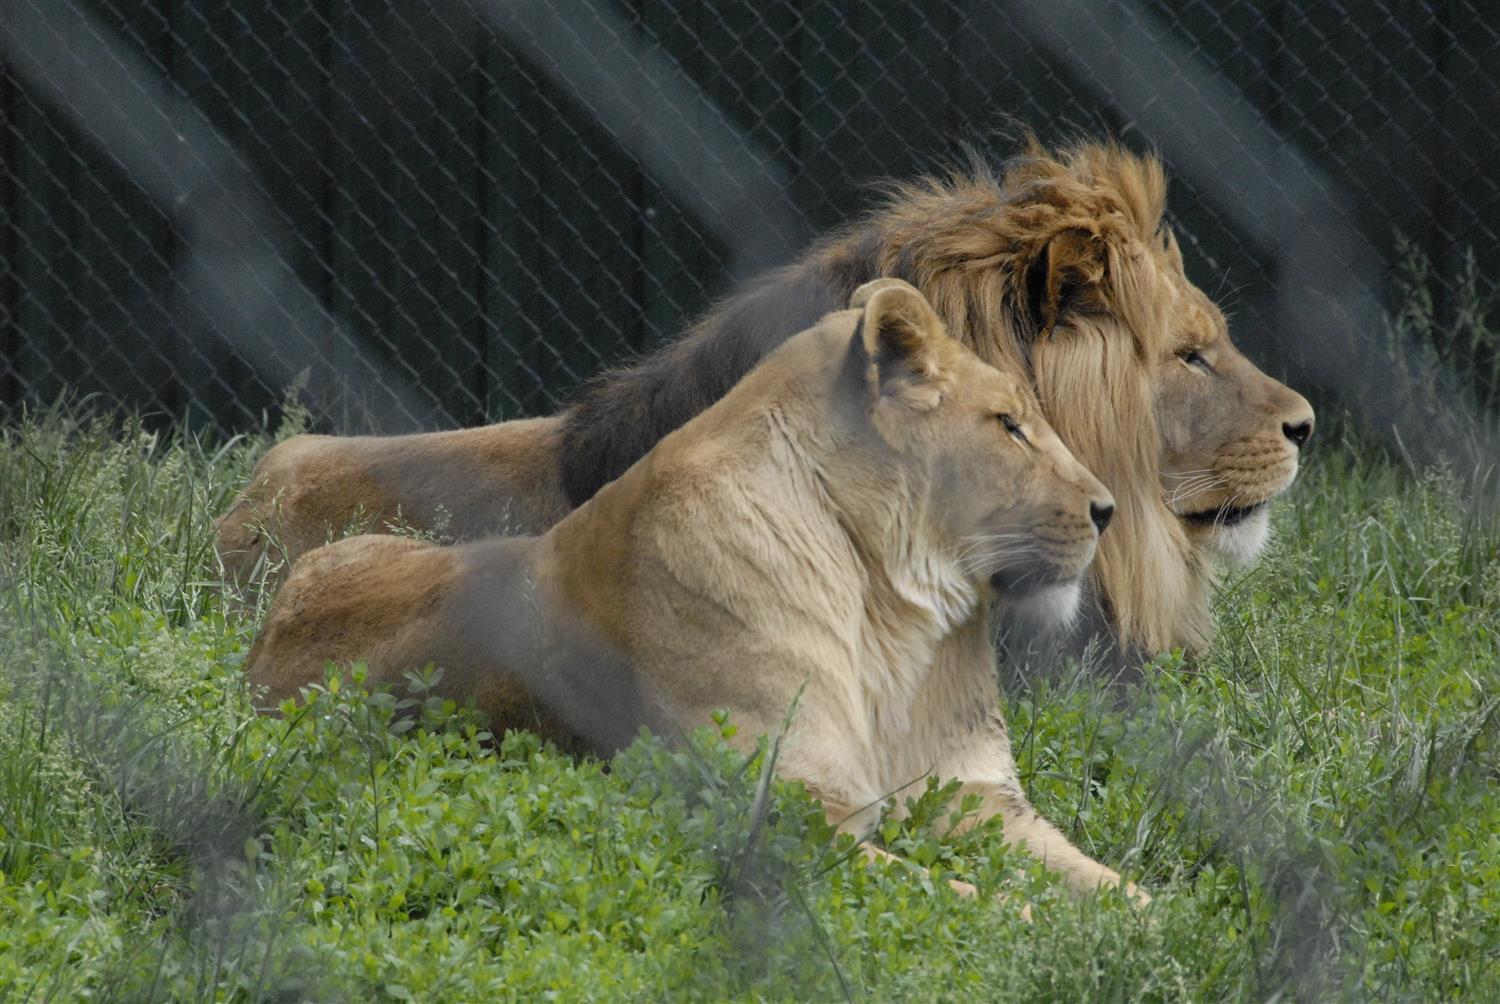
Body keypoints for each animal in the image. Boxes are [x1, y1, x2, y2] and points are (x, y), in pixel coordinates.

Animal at [249, 280, 1134, 900]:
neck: (897, 615)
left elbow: (1105, 884)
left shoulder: (980, 798)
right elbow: (971, 900)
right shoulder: (784, 820)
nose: (1107, 509)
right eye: (1010, 425)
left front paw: (1150, 930)